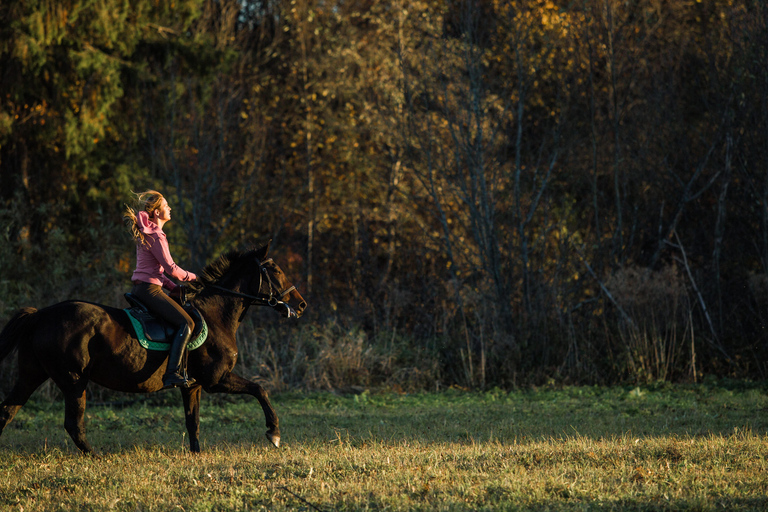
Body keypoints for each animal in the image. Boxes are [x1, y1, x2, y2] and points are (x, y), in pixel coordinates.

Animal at [0, 242, 306, 454]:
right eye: (276, 270)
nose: (300, 305)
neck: (216, 315)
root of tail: (40, 315)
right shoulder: (216, 380)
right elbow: (260, 389)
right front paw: (274, 433)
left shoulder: (193, 386)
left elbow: (193, 423)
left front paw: (197, 456)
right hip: (74, 380)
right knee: (73, 424)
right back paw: (97, 457)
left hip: (31, 374)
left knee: (7, 411)